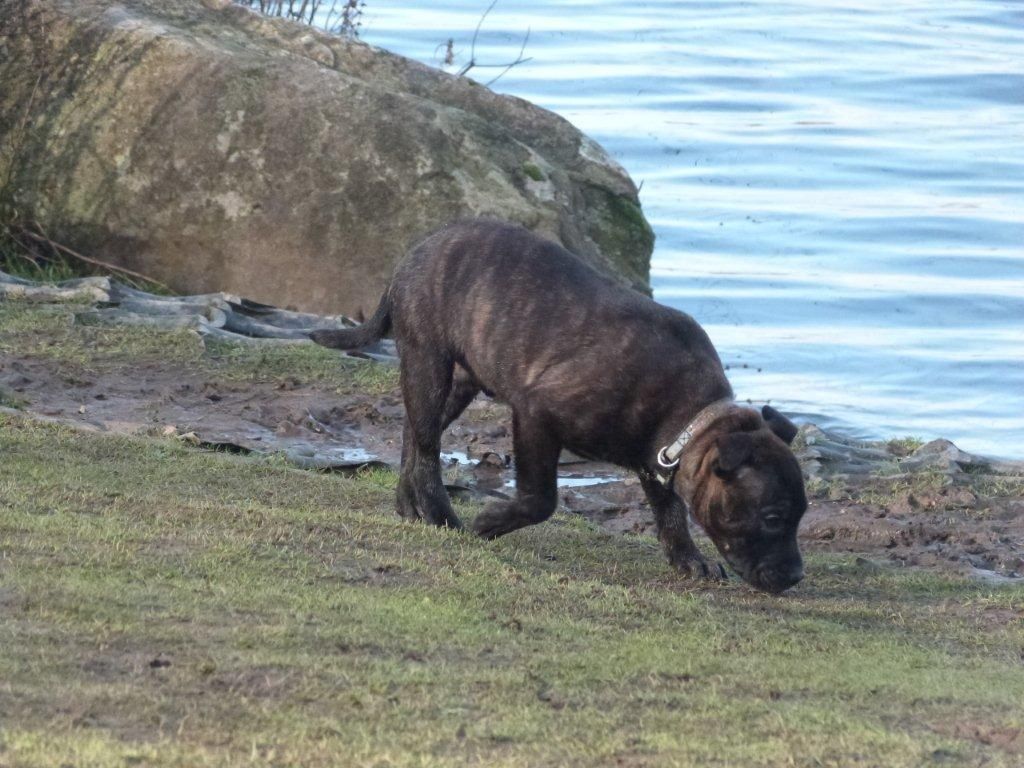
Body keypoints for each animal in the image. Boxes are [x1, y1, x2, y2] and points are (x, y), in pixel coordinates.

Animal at [311, 219, 806, 593]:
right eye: (773, 518)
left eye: (800, 515)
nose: (797, 575)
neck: (688, 417)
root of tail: (418, 249)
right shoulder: (536, 416)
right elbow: (541, 499)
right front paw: (491, 522)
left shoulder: (657, 460)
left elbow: (669, 513)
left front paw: (687, 559)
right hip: (429, 364)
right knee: (427, 447)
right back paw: (440, 513)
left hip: (459, 382)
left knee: (413, 435)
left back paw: (409, 505)